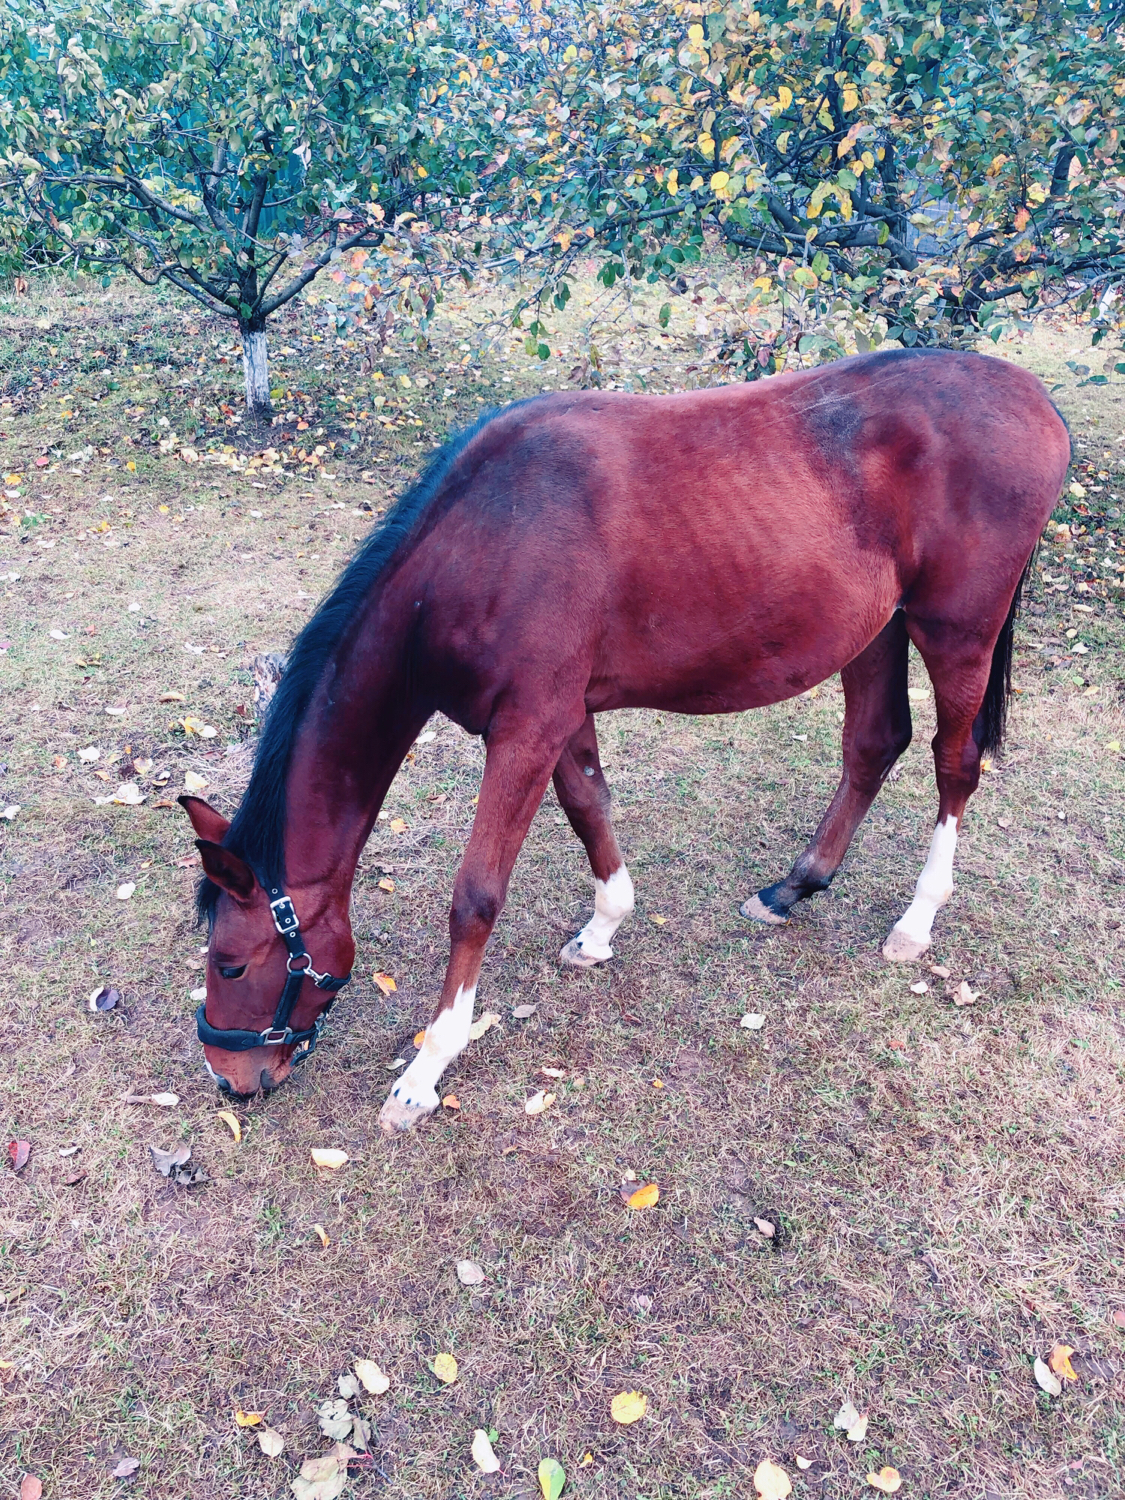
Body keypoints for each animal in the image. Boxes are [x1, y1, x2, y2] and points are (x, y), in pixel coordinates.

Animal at [180, 348, 1068, 1128]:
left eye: (230, 963)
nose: (228, 1076)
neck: (482, 543)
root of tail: (1034, 397)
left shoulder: (525, 729)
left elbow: (475, 896)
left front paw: (427, 1068)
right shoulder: (559, 716)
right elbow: (589, 809)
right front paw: (604, 926)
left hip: (955, 629)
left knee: (954, 764)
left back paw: (917, 921)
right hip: (875, 627)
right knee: (872, 744)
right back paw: (795, 885)